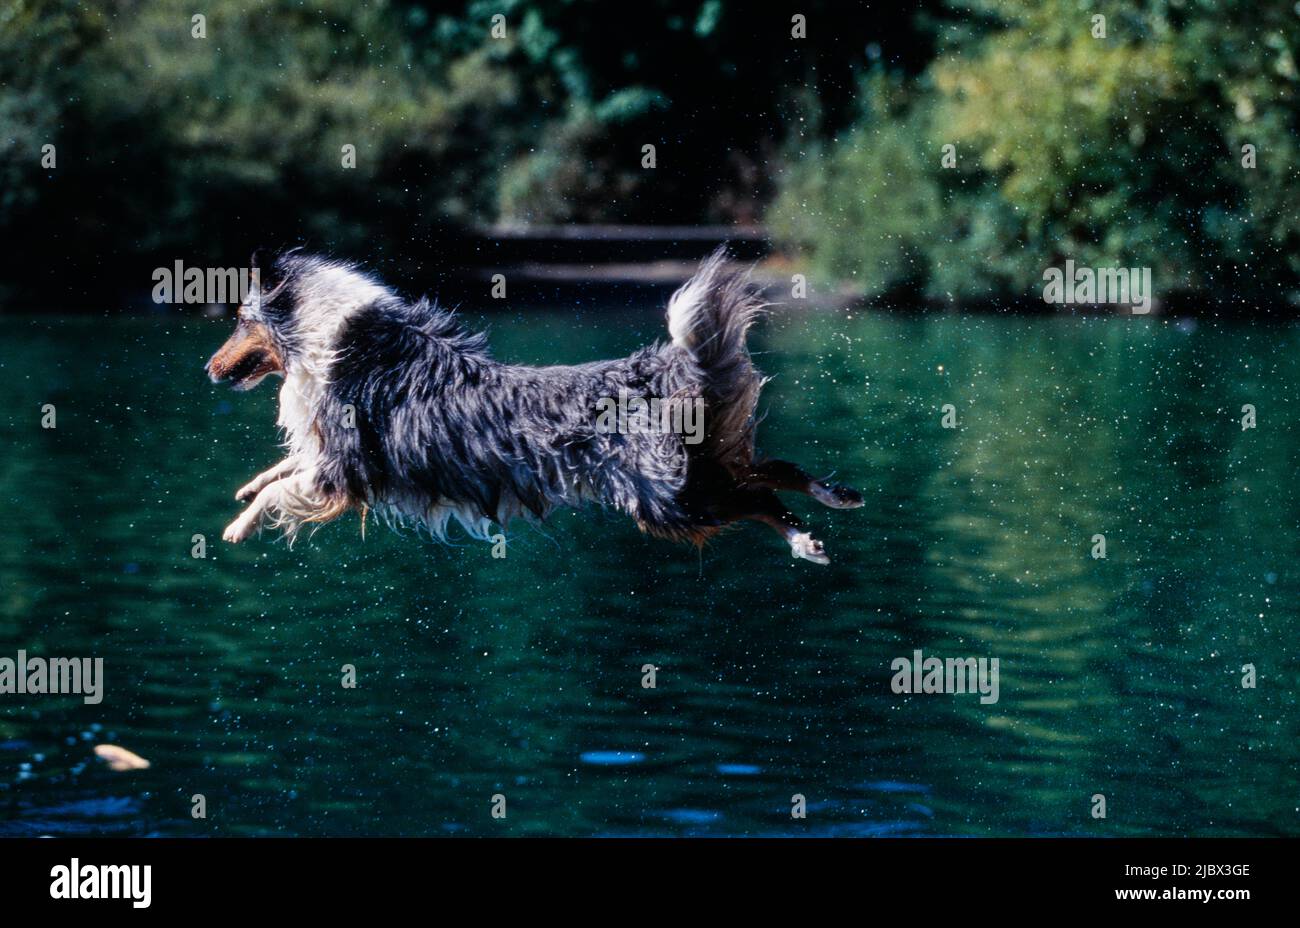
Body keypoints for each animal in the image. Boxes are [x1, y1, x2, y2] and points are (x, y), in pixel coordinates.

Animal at [205, 249, 863, 561]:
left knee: (757, 493)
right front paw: (247, 487)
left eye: (239, 319)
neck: (328, 332)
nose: (209, 371)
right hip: (691, 474)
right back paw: (834, 502)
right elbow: (286, 466)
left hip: (666, 499)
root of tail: (661, 368)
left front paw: (238, 525)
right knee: (769, 469)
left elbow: (284, 488)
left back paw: (809, 536)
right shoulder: (340, 458)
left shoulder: (344, 466)